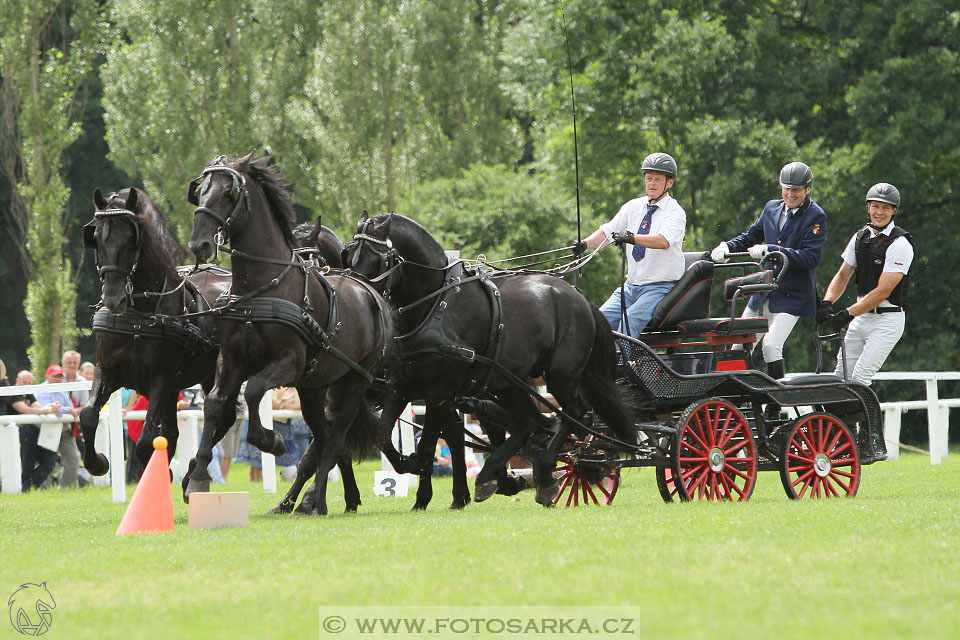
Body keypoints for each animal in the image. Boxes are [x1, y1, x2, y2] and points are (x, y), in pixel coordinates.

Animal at [78, 188, 230, 472]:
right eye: (96, 237)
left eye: (131, 238)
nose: (113, 298)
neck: (139, 315)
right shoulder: (107, 370)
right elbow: (88, 415)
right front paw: (98, 463)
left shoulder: (162, 378)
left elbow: (147, 440)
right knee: (174, 431)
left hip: (212, 376)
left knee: (222, 419)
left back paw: (192, 471)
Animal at [186, 155, 392, 516]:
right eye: (200, 192)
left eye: (228, 192)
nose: (200, 244)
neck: (261, 288)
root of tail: (372, 294)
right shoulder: (231, 361)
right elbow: (213, 403)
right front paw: (198, 476)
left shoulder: (288, 364)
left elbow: (255, 391)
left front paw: (271, 440)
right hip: (314, 387)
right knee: (324, 437)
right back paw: (323, 500)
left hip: (355, 382)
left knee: (334, 439)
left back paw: (316, 500)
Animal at [344, 212, 636, 508]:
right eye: (349, 256)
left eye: (379, 259)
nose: (361, 299)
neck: (435, 305)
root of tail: (580, 299)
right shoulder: (400, 385)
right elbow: (383, 436)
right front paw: (416, 476)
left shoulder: (441, 391)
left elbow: (427, 445)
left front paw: (423, 478)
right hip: (508, 382)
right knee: (531, 422)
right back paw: (494, 476)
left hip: (559, 375)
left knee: (573, 415)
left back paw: (543, 473)